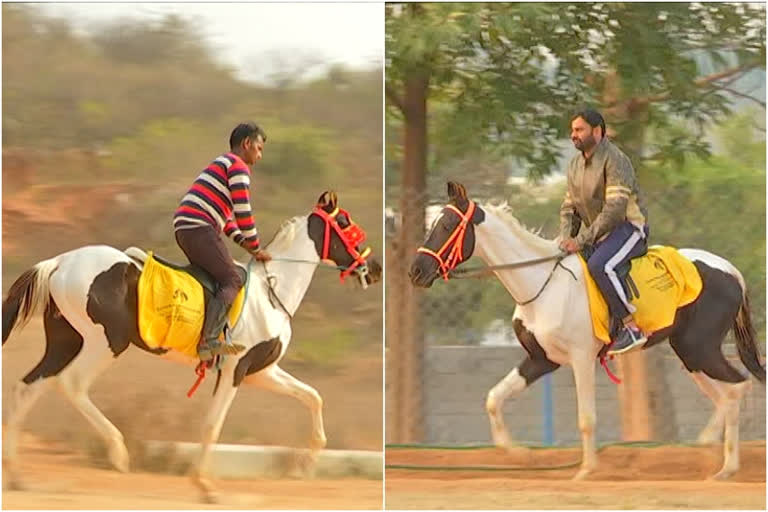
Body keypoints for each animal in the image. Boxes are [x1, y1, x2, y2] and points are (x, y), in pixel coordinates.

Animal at [2, 190, 380, 502]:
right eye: (345, 223)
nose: (374, 268)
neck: (272, 292)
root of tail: (60, 262)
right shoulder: (235, 371)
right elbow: (213, 425)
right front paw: (206, 486)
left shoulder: (262, 371)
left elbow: (313, 397)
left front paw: (305, 465)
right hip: (105, 342)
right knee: (72, 384)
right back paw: (119, 452)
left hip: (65, 341)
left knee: (29, 386)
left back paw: (17, 477)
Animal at [408, 183, 760, 480]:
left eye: (446, 226)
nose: (416, 271)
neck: (543, 283)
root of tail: (733, 271)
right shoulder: (541, 359)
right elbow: (495, 398)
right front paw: (520, 454)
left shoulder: (581, 359)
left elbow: (586, 419)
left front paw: (587, 469)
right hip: (690, 354)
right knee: (727, 395)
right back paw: (710, 450)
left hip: (700, 349)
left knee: (738, 387)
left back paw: (726, 465)